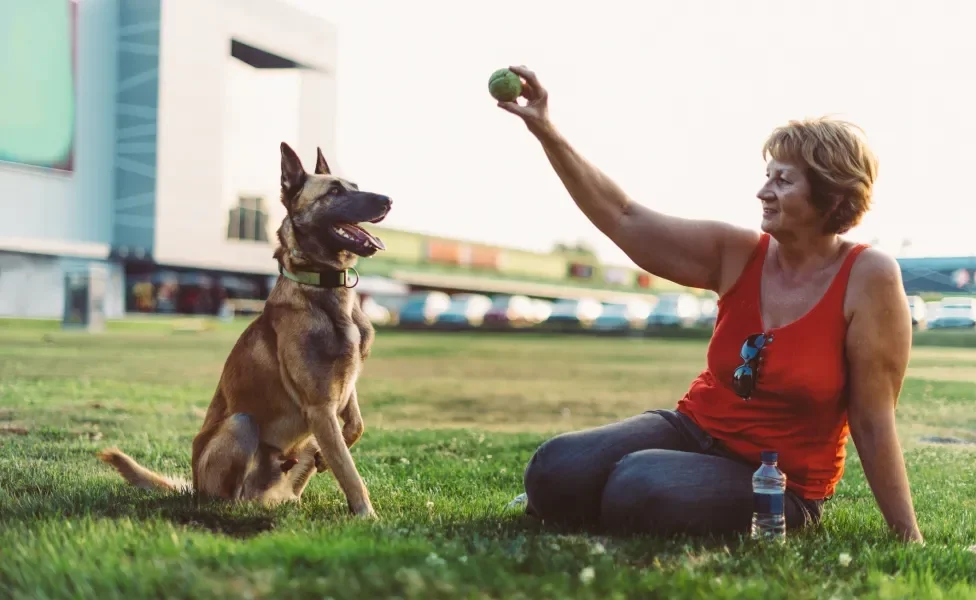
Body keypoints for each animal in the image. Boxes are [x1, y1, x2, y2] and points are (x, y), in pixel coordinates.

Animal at [97, 141, 390, 516]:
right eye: (334, 191)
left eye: (354, 186)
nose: (387, 200)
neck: (323, 288)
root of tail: (192, 487)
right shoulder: (319, 407)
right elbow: (349, 471)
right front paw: (367, 514)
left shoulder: (341, 391)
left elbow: (353, 428)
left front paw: (334, 455)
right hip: (241, 426)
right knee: (229, 495)